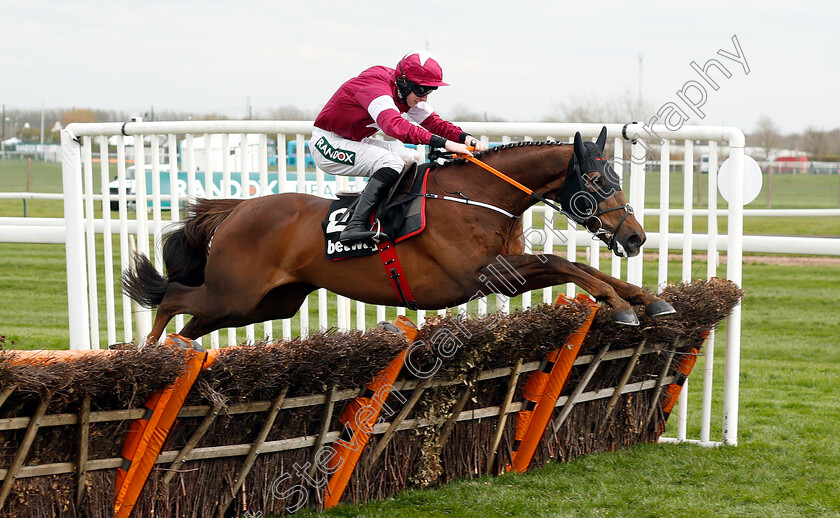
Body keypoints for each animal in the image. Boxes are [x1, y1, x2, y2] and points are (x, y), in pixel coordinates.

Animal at [123, 127, 676, 346]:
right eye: (598, 181)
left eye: (619, 178)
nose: (635, 238)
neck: (479, 196)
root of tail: (238, 209)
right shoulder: (481, 276)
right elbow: (562, 264)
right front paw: (622, 304)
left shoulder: (504, 272)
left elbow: (576, 266)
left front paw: (644, 298)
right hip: (234, 293)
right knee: (172, 298)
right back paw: (149, 352)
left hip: (266, 304)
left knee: (192, 325)